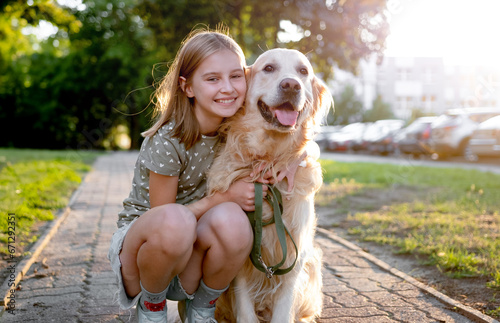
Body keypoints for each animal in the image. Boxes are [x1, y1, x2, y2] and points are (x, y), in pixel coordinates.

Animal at [207, 48, 332, 323]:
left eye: (303, 71)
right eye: (269, 68)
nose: (291, 85)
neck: (269, 161)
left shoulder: (295, 254)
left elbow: (284, 309)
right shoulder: (244, 258)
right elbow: (245, 310)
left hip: (313, 263)